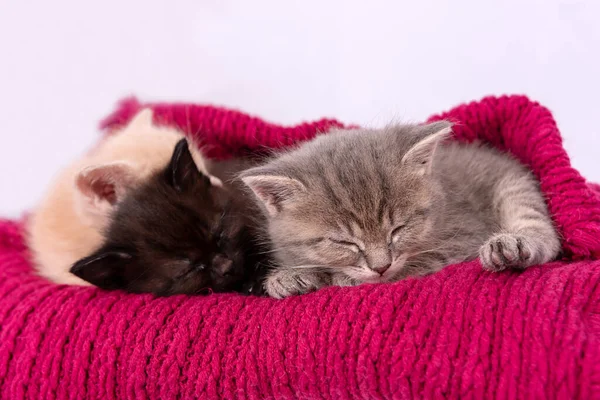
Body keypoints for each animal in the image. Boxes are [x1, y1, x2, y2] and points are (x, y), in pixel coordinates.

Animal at [241, 121, 560, 296]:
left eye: (399, 229)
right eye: (342, 242)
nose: (380, 267)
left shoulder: (465, 235)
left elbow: (416, 264)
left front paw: (345, 278)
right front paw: (287, 278)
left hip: (513, 186)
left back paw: (512, 246)